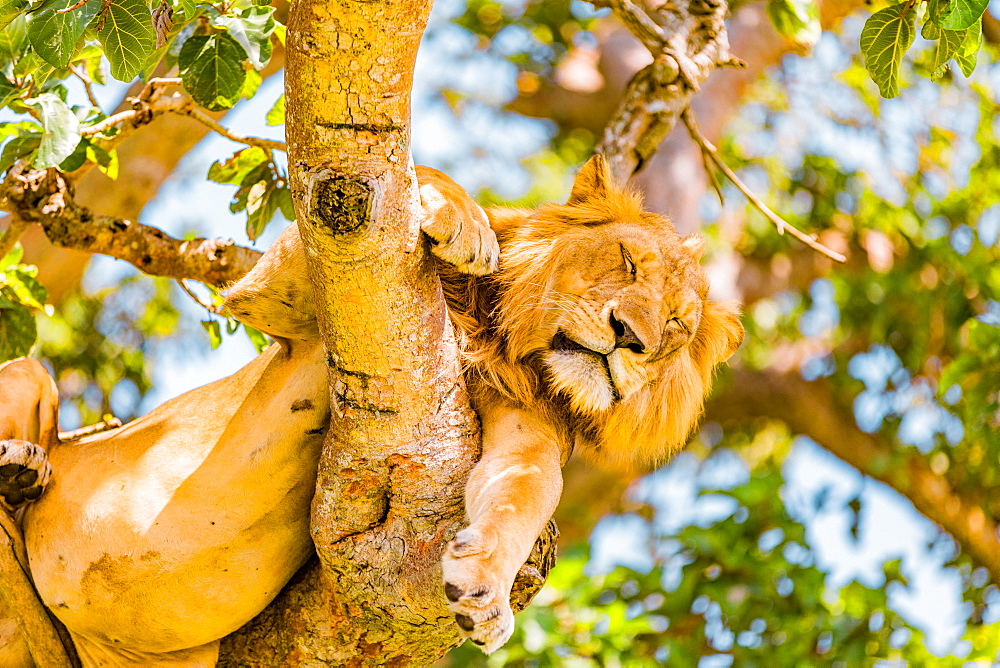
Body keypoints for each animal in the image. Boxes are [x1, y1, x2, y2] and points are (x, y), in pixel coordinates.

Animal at [0, 157, 744, 664]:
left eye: (676, 325)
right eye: (627, 260)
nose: (630, 337)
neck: (503, 336)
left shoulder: (527, 428)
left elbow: (523, 492)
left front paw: (486, 590)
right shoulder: (274, 297)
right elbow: (413, 177)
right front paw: (464, 224)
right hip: (28, 372)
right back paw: (21, 466)